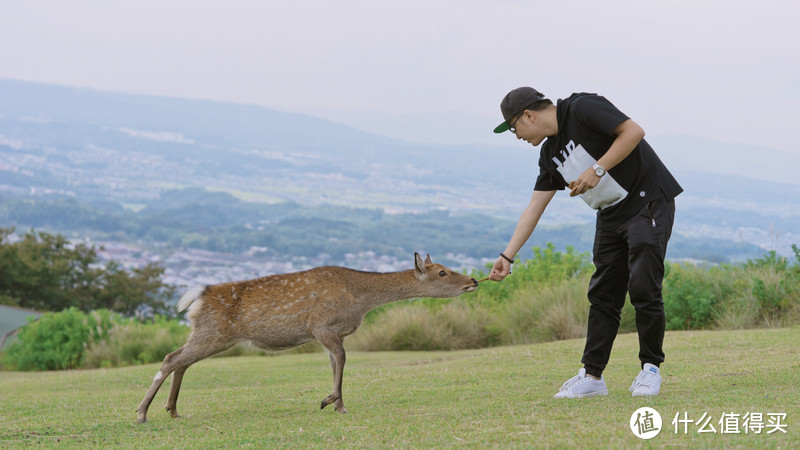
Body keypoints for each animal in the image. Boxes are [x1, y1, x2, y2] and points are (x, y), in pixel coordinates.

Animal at [134, 253, 478, 422]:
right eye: (442, 272)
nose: (473, 280)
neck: (360, 300)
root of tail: (198, 296)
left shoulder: (334, 333)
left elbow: (335, 363)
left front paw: (337, 404)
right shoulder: (321, 325)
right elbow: (341, 359)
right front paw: (331, 401)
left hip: (210, 334)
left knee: (180, 360)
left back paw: (172, 410)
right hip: (213, 332)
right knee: (171, 358)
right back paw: (142, 413)